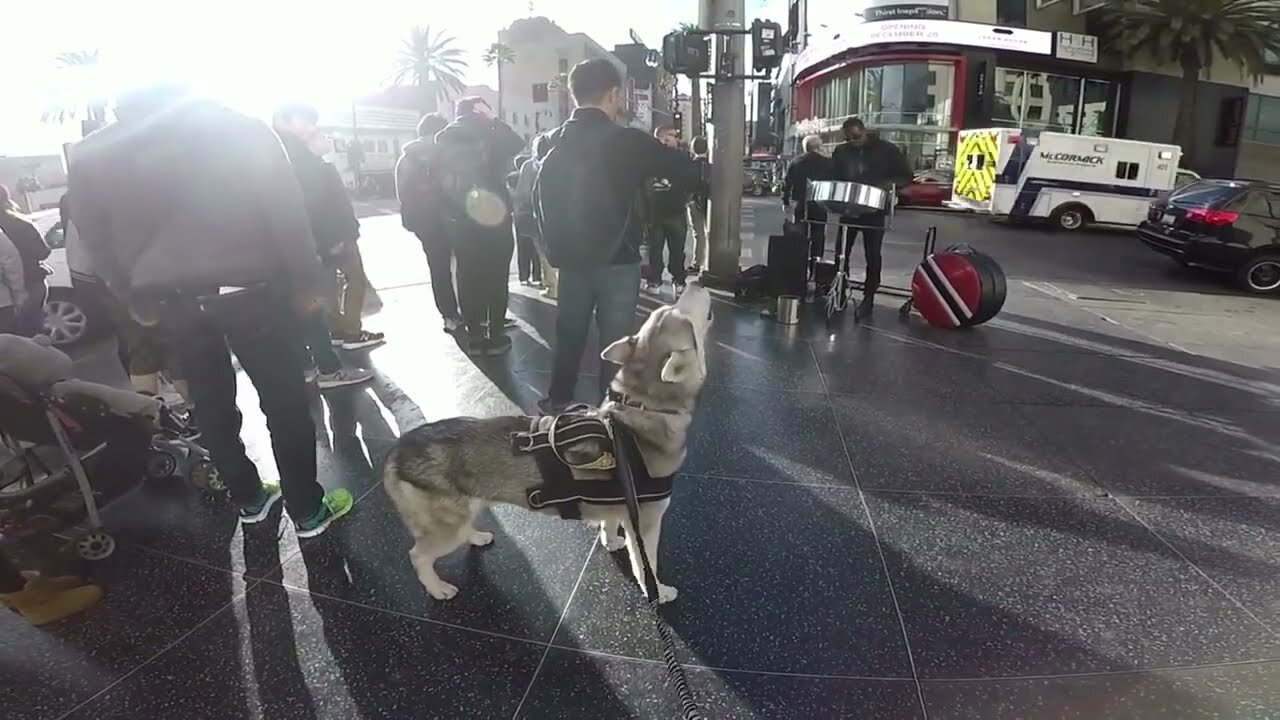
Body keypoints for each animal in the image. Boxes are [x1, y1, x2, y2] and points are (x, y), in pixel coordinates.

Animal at [384, 280, 716, 599]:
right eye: (683, 316)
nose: (697, 279)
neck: (641, 407)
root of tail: (399, 448)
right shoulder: (646, 523)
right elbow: (646, 565)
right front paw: (659, 591)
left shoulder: (619, 507)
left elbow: (609, 525)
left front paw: (611, 541)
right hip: (444, 528)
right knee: (418, 556)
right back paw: (437, 587)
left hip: (467, 508)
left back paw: (476, 536)